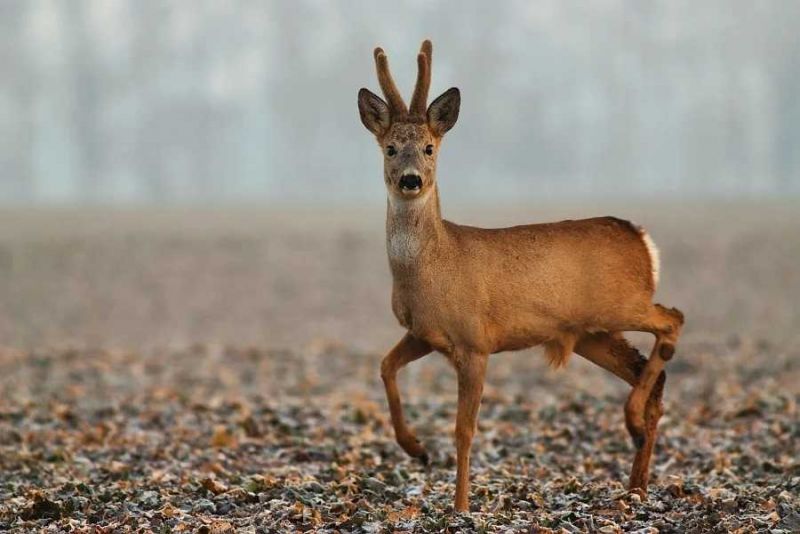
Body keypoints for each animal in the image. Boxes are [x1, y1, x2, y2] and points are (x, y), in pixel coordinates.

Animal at [360, 39, 684, 516]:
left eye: (429, 147)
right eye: (390, 148)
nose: (411, 181)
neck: (432, 269)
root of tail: (642, 239)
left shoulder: (475, 341)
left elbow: (464, 429)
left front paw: (461, 506)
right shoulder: (424, 333)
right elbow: (385, 367)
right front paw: (416, 449)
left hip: (622, 304)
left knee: (673, 319)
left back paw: (630, 426)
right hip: (592, 333)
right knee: (654, 375)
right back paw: (636, 485)